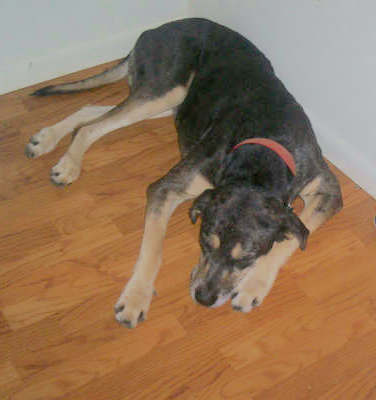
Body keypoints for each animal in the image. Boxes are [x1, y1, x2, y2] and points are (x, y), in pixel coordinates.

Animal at [25, 18, 342, 328]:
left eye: (247, 257)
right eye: (204, 241)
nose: (204, 298)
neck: (260, 156)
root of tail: (154, 30)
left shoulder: (328, 190)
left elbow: (293, 236)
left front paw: (253, 286)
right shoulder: (165, 188)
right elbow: (153, 250)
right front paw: (136, 299)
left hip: (171, 104)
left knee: (89, 111)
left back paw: (45, 139)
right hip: (164, 92)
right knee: (91, 127)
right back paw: (68, 163)